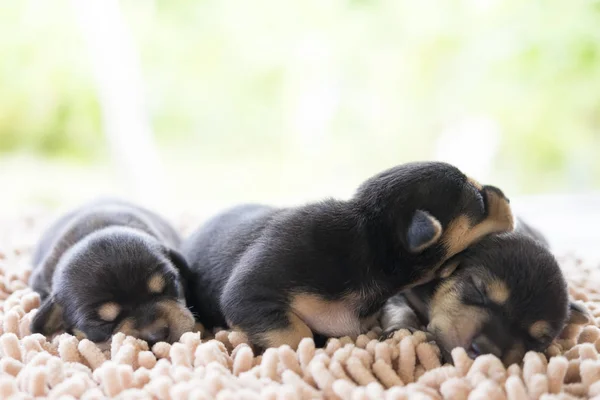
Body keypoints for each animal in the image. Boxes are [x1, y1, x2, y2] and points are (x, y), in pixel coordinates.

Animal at [380, 219, 592, 366]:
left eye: (536, 341)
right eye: (478, 290)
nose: (484, 350)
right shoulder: (404, 291)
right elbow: (401, 309)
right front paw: (402, 332)